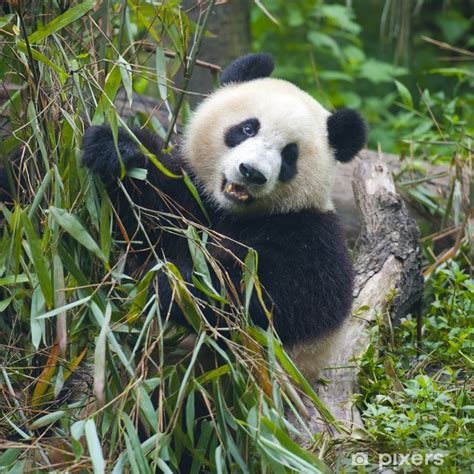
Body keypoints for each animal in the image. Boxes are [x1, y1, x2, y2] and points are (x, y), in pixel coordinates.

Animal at [83, 53, 368, 382]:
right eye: (248, 128)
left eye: (290, 155)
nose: (252, 172)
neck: (233, 214)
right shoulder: (192, 200)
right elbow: (143, 223)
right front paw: (117, 148)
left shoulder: (309, 235)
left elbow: (266, 301)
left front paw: (176, 283)